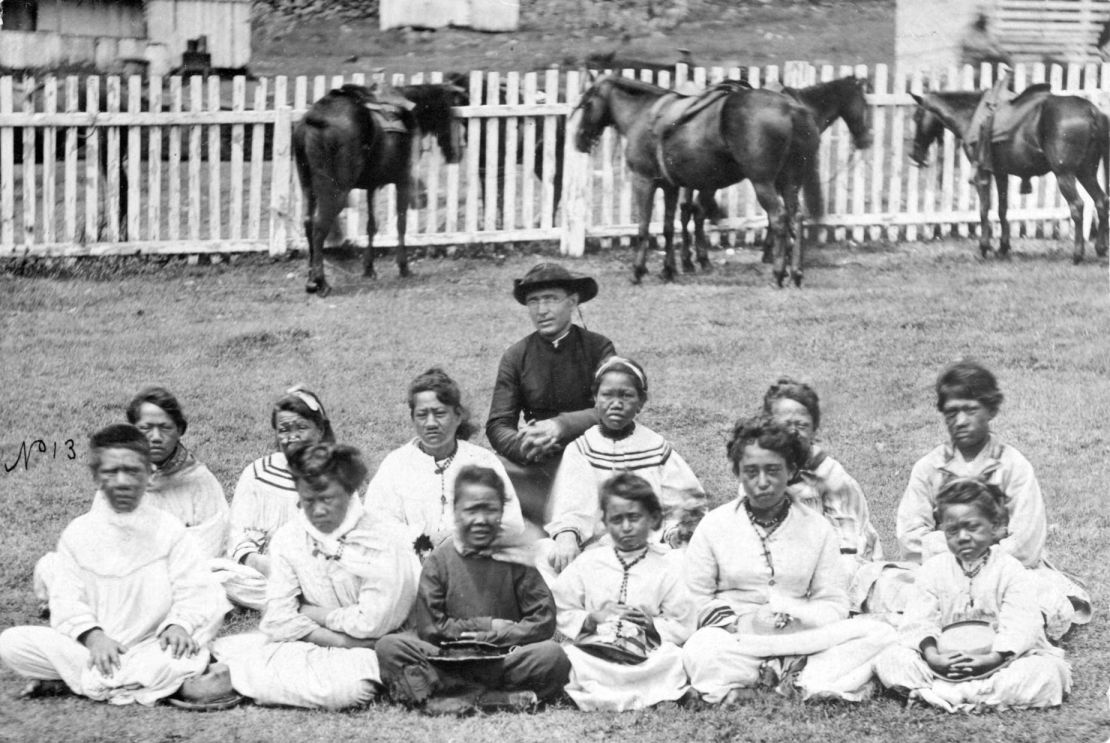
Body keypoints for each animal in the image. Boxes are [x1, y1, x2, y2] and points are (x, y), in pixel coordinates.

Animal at [290, 81, 463, 295]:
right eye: (453, 115)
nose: (457, 153)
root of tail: (315, 119)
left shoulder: (372, 185)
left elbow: (371, 225)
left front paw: (369, 268)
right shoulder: (403, 180)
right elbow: (401, 224)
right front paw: (403, 267)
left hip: (308, 186)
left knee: (307, 223)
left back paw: (311, 279)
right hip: (336, 190)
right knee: (320, 225)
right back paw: (320, 281)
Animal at [577, 73, 821, 286]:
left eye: (587, 103)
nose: (579, 139)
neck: (643, 115)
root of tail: (790, 108)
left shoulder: (643, 181)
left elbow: (643, 227)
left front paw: (638, 270)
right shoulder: (671, 186)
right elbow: (668, 227)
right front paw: (668, 270)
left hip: (763, 183)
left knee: (779, 219)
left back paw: (778, 274)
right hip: (790, 182)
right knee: (796, 217)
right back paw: (796, 273)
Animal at [674, 74, 874, 266]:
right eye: (863, 102)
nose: (866, 140)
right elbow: (777, 215)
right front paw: (777, 253)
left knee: (686, 211)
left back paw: (687, 260)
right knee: (697, 211)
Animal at [910, 87, 1110, 262]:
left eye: (917, 116)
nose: (914, 154)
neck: (973, 116)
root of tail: (1091, 110)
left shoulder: (982, 174)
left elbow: (984, 209)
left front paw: (984, 246)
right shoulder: (1001, 174)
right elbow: (1002, 209)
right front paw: (1003, 247)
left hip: (1065, 175)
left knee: (1077, 206)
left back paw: (1077, 254)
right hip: (1086, 173)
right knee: (1101, 201)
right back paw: (1100, 249)